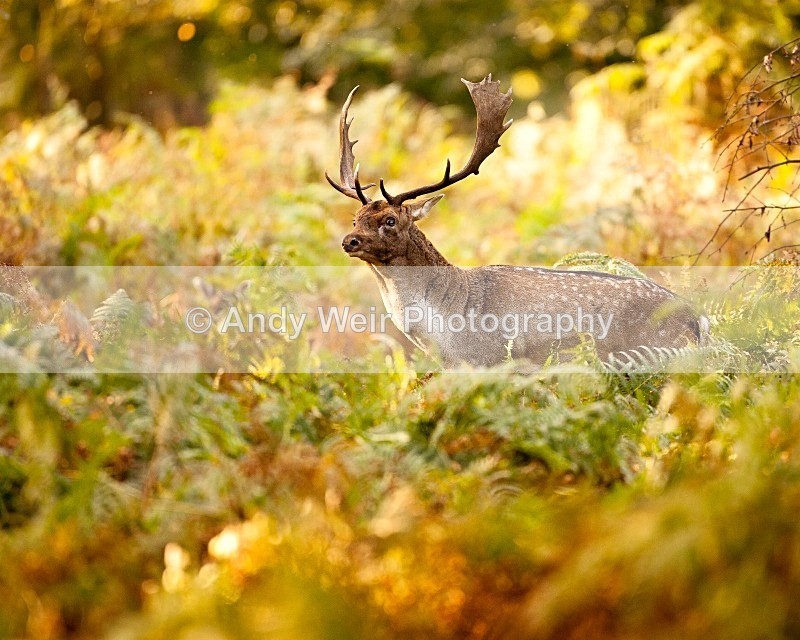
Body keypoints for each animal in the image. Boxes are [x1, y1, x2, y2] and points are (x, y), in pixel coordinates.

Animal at [326, 75, 706, 368]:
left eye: (390, 220)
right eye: (357, 217)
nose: (349, 240)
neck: (444, 333)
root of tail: (698, 319)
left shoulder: (491, 361)